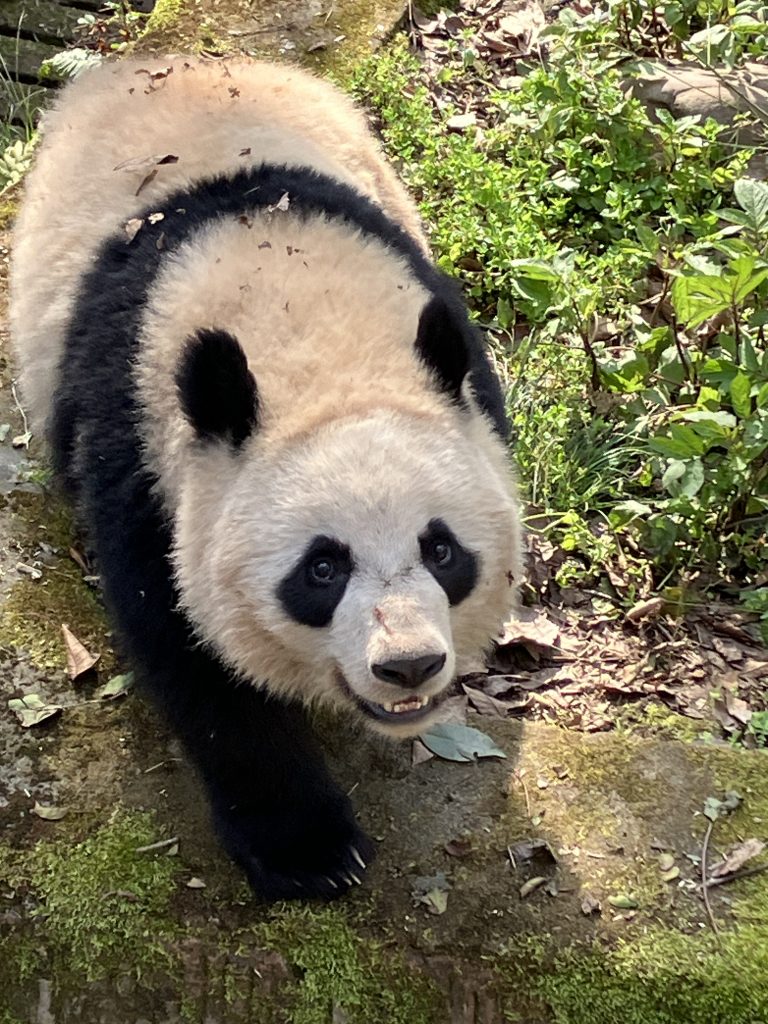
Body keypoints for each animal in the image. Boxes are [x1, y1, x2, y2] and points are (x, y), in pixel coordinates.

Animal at [10, 57, 521, 900]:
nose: (408, 665)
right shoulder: (141, 444)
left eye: (442, 550)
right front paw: (308, 849)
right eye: (322, 569)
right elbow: (188, 648)